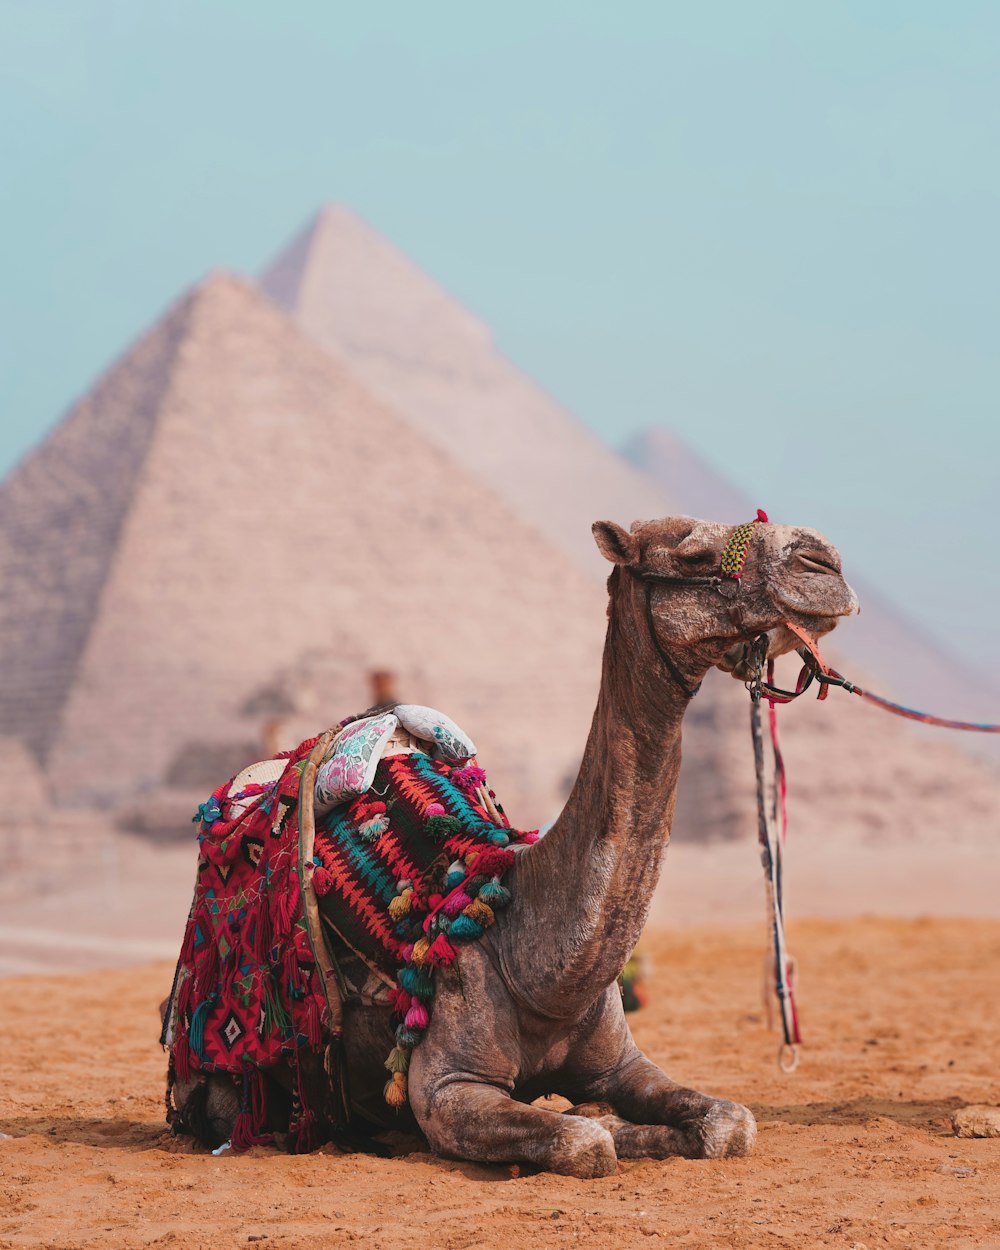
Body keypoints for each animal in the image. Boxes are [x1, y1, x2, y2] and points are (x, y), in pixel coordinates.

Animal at [167, 512, 855, 1175]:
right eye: (693, 553)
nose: (823, 561)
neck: (529, 958)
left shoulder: (623, 1064)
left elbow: (730, 1123)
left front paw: (630, 1119)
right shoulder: (448, 1089)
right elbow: (584, 1142)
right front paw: (603, 1126)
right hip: (224, 1082)